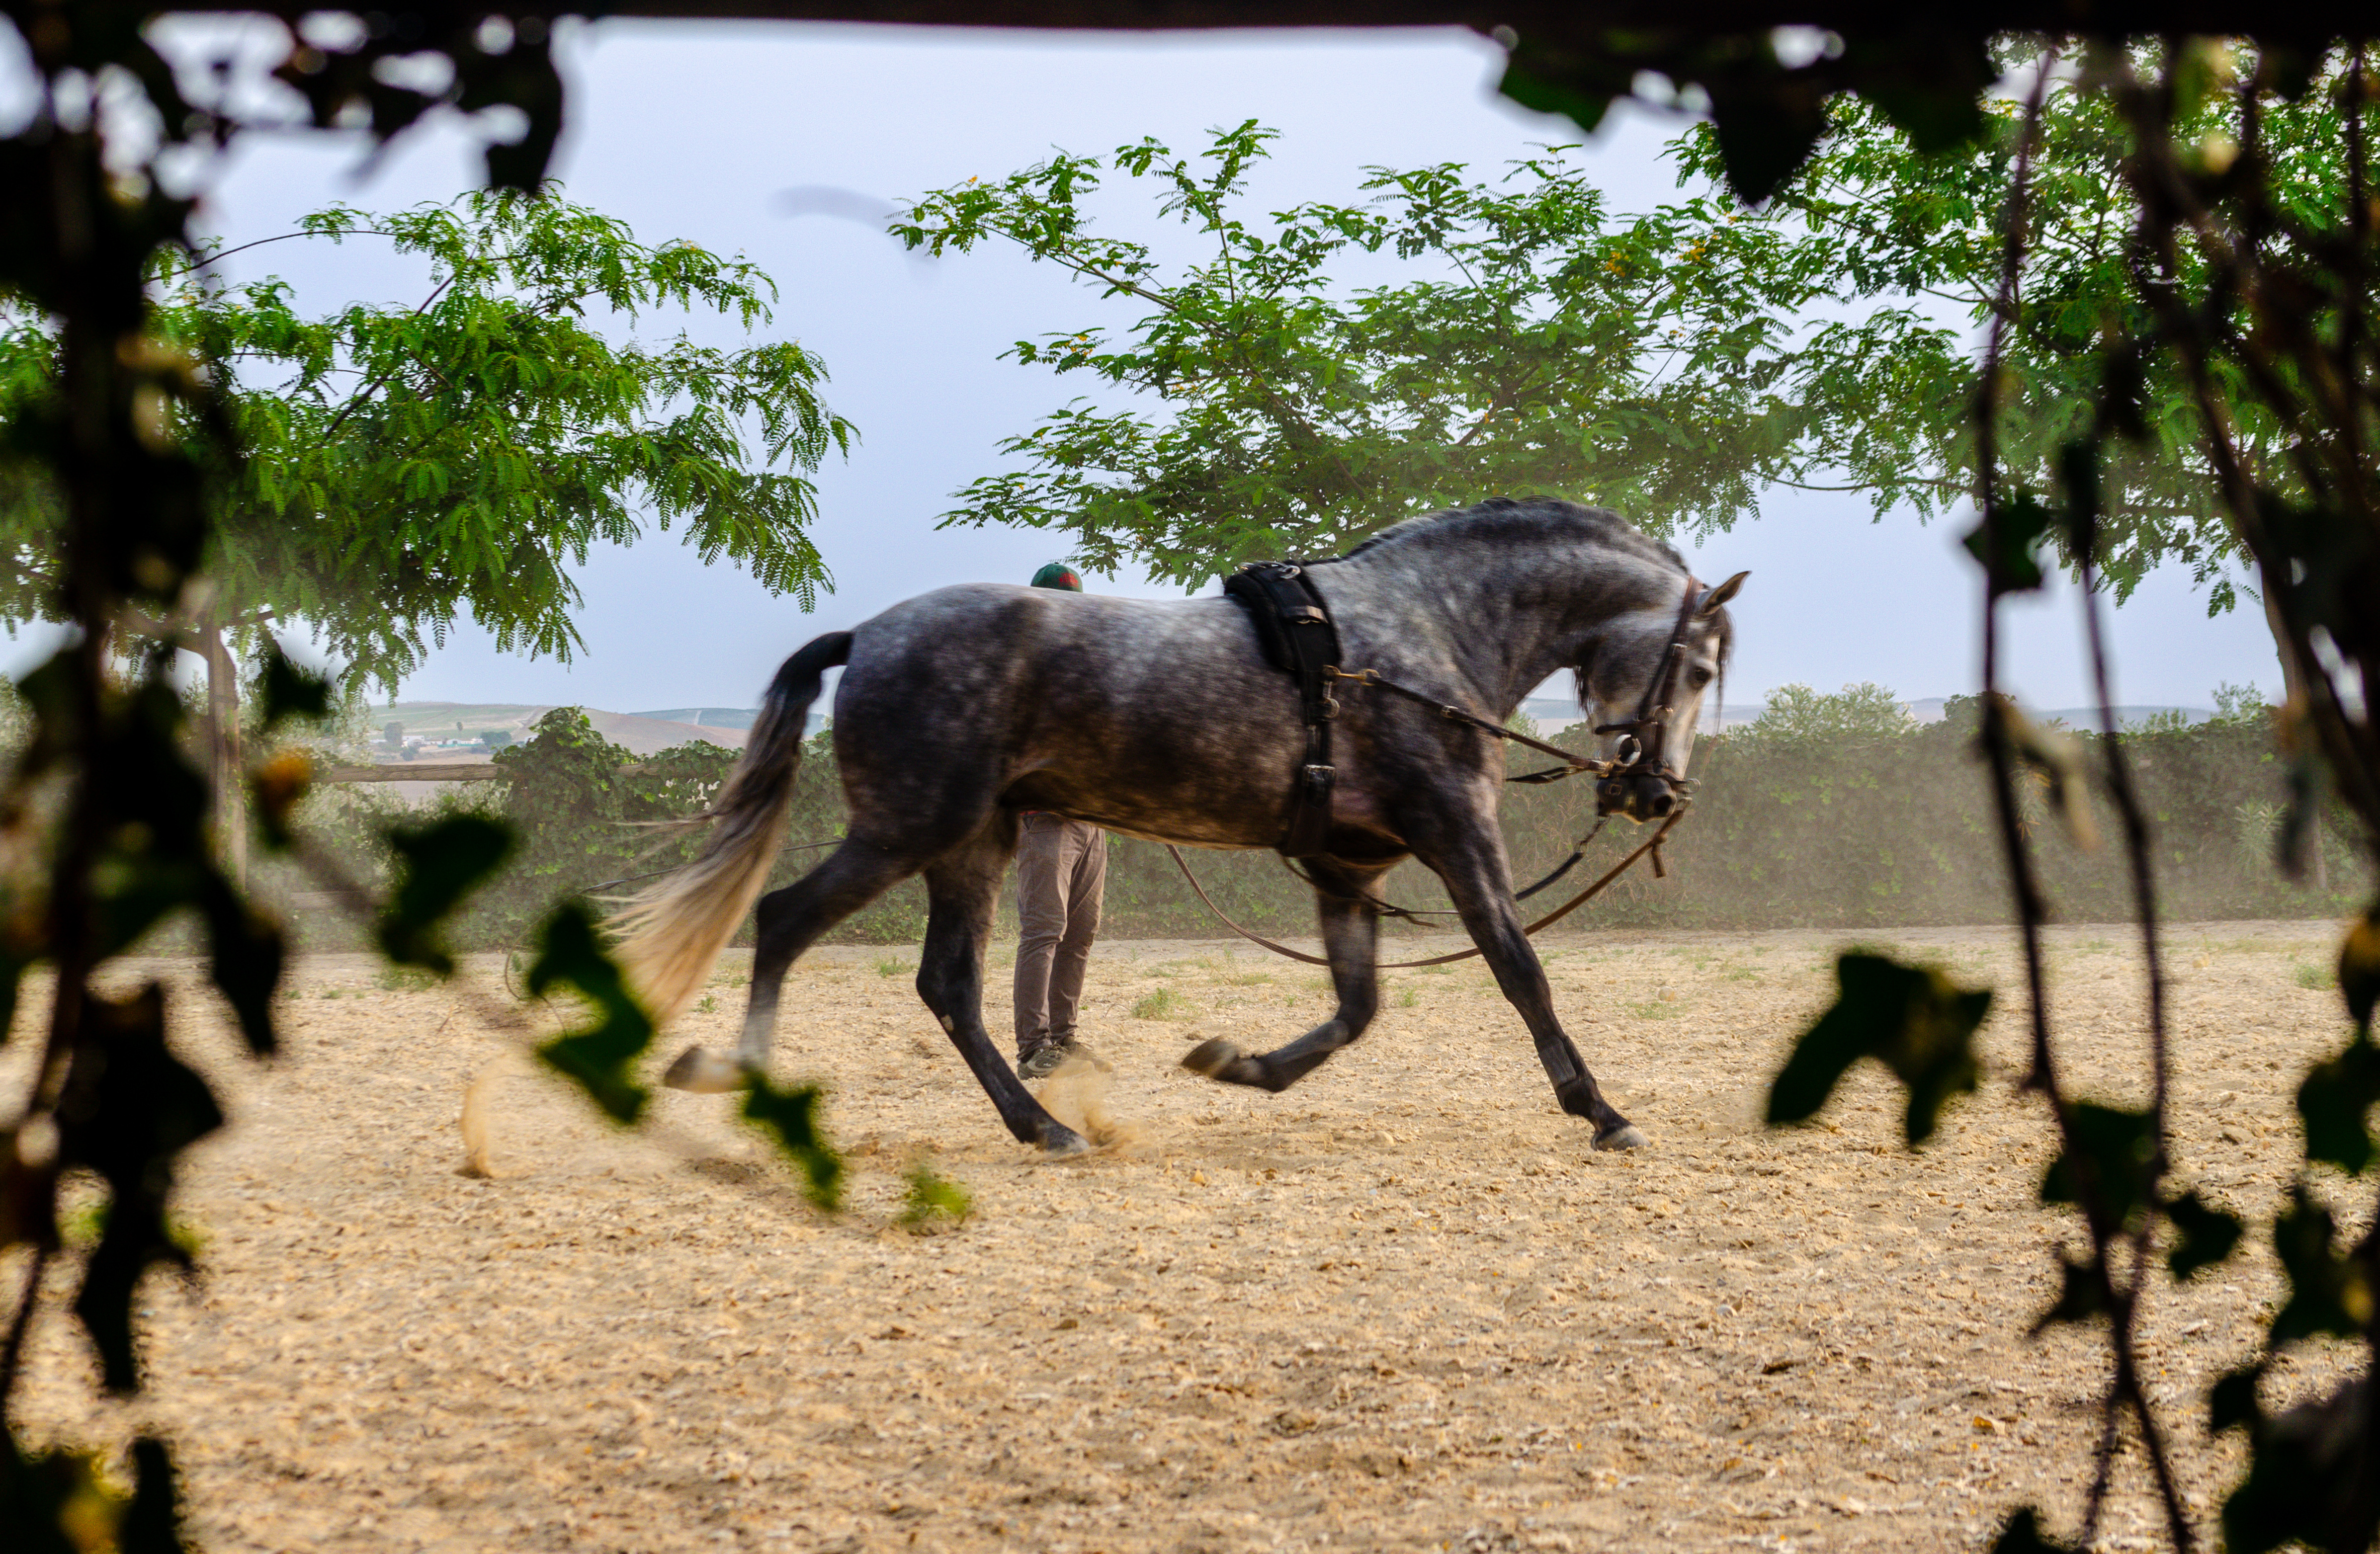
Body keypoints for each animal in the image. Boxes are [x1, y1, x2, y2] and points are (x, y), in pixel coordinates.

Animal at [613, 497, 1741, 1157]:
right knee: (783, 920)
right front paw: (1600, 1109)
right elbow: (1518, 969)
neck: (1422, 629)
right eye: (1693, 668)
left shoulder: (1348, 863)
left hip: (969, 847)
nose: (1657, 796)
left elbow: (1356, 1007)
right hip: (908, 830)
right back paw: (739, 1074)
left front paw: (1237, 1063)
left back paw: (1043, 1125)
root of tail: (871, 634)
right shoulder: (1457, 832)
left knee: (948, 986)